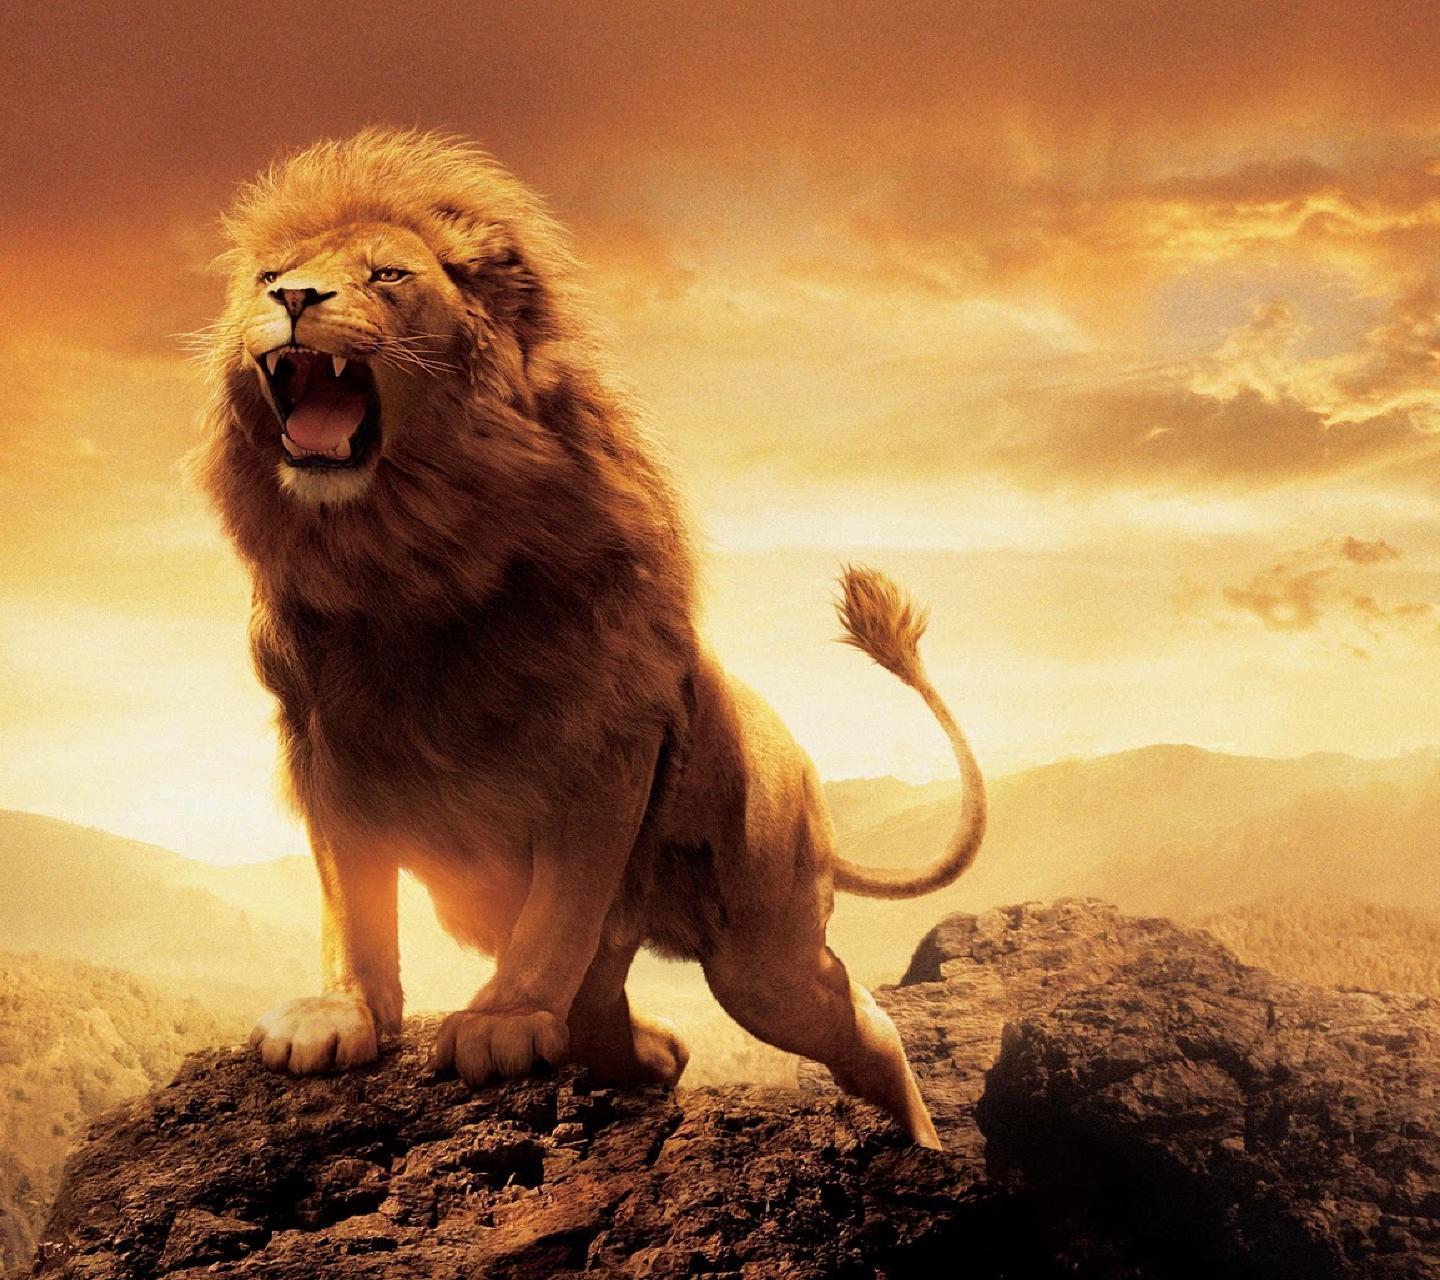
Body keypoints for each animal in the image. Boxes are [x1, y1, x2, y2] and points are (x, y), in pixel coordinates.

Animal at [193, 129, 986, 1149]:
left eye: (387, 274)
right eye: (268, 276)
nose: (295, 300)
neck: (404, 560)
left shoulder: (604, 742)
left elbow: (561, 907)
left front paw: (500, 1021)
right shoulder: (328, 744)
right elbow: (352, 900)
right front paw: (341, 1014)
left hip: (763, 951)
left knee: (861, 1023)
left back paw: (925, 1148)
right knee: (613, 1006)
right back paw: (652, 1052)